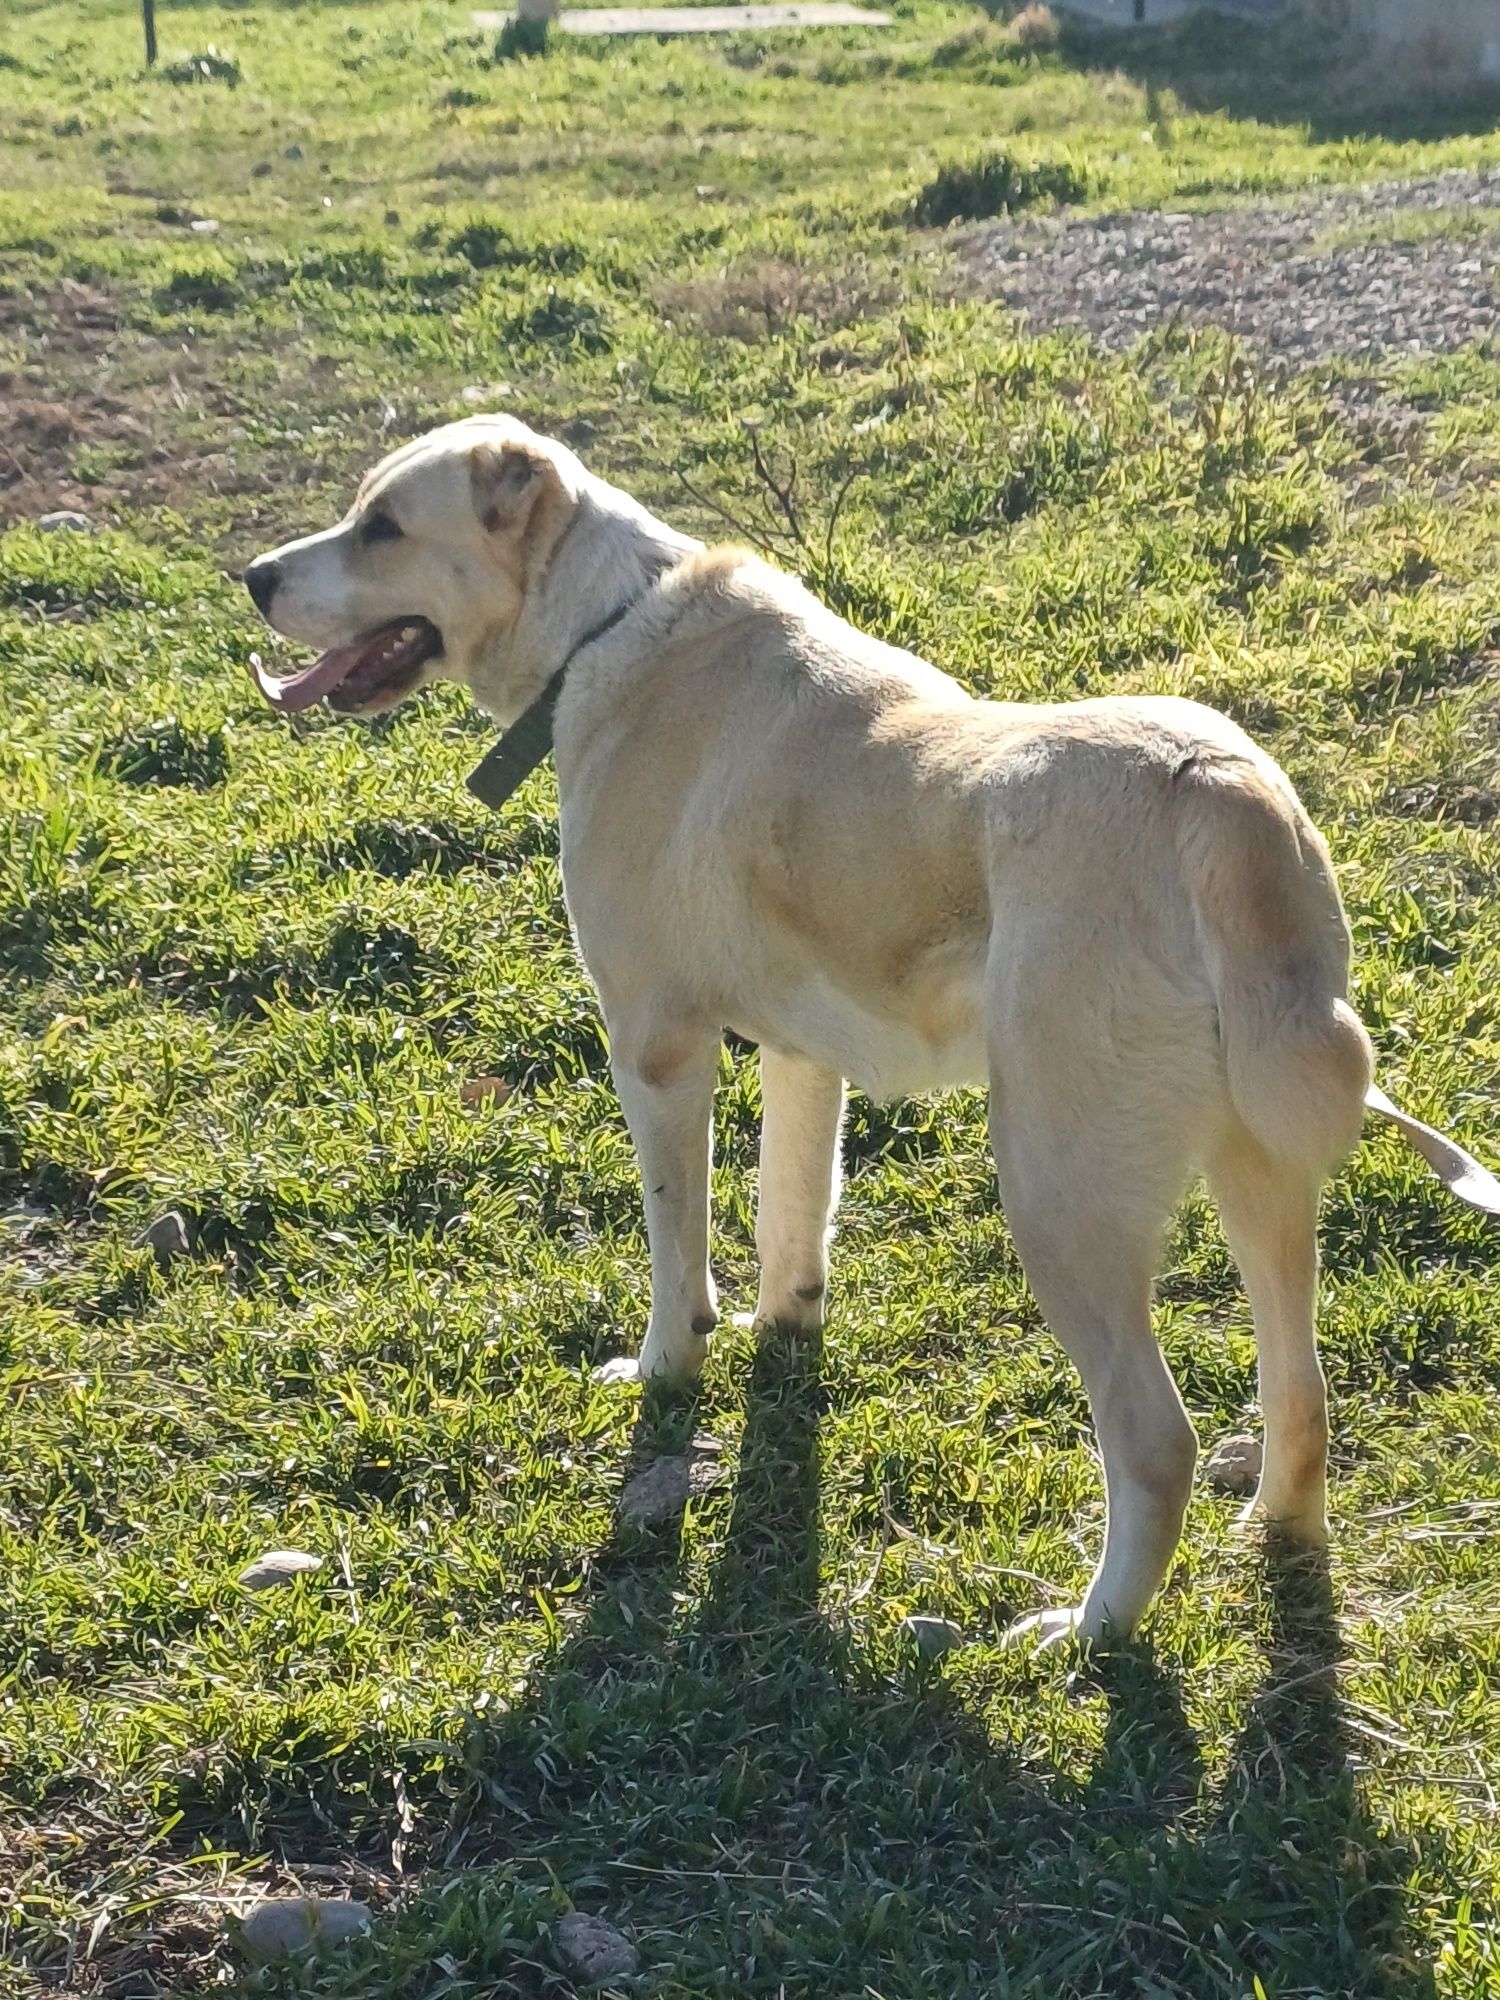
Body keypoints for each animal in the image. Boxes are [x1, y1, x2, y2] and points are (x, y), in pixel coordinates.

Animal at [244, 418, 1496, 1640]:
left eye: (383, 526)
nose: (253, 578)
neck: (605, 623)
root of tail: (1215, 786)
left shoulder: (655, 1044)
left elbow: (676, 1247)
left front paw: (666, 1367)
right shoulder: (803, 1052)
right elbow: (789, 1216)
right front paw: (781, 1329)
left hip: (1059, 1200)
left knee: (1156, 1440)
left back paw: (1089, 1632)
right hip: (1260, 1180)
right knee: (1302, 1395)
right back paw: (1274, 1539)